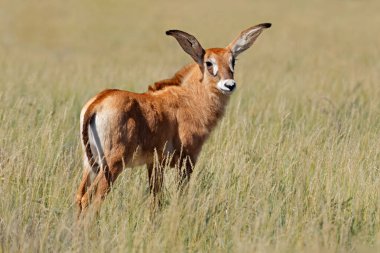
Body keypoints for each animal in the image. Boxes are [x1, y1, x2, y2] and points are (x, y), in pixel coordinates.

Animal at [76, 23, 270, 215]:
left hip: (91, 165)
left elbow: (156, 200)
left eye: (233, 61)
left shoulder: (155, 164)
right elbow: (180, 196)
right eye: (209, 63)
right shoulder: (187, 160)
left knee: (80, 196)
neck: (189, 98)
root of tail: (97, 103)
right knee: (91, 199)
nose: (229, 85)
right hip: (112, 164)